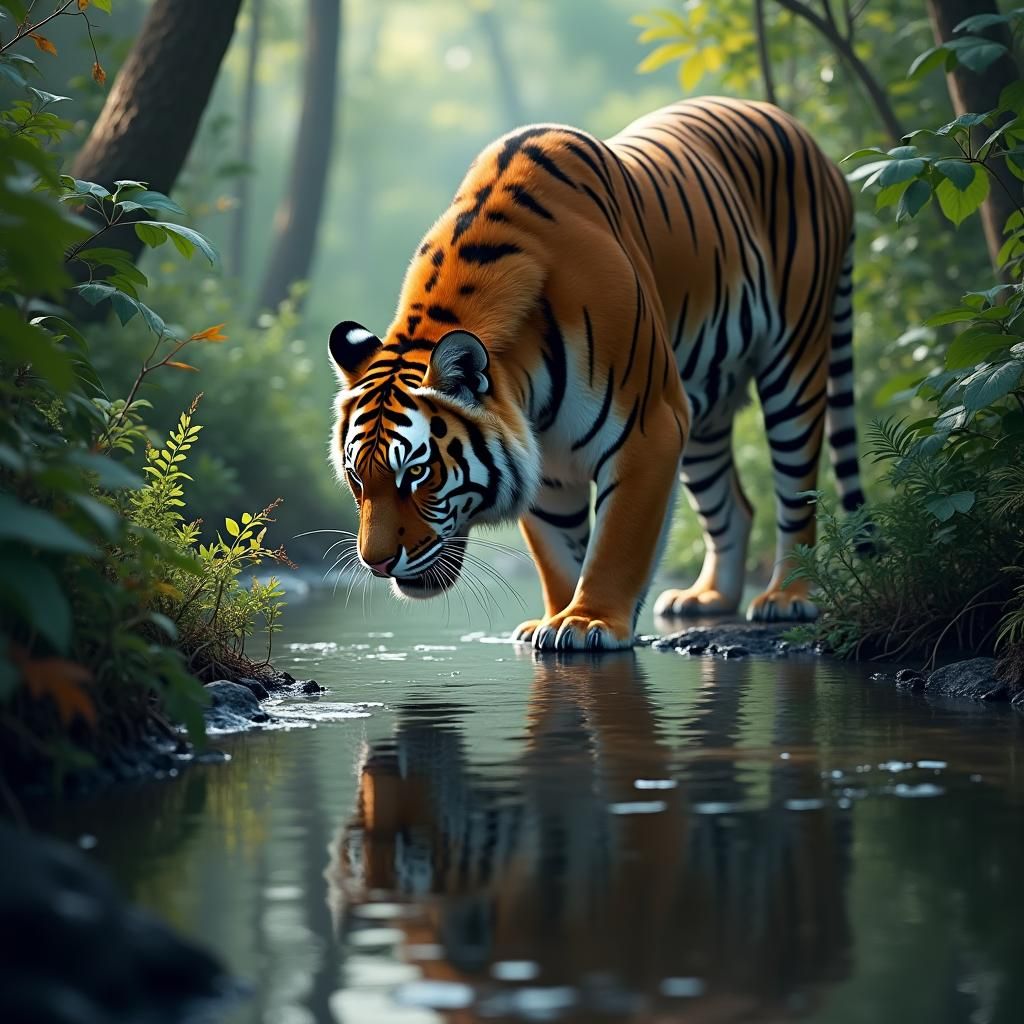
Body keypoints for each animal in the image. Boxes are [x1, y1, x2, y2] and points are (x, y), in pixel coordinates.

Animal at [329, 96, 863, 651]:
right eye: (356, 477)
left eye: (417, 473)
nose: (376, 563)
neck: (528, 385)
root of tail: (810, 142)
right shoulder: (545, 459)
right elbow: (558, 553)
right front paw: (553, 618)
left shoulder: (650, 427)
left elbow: (617, 542)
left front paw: (588, 622)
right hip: (702, 407)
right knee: (733, 505)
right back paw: (708, 598)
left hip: (795, 366)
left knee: (798, 493)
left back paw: (787, 597)